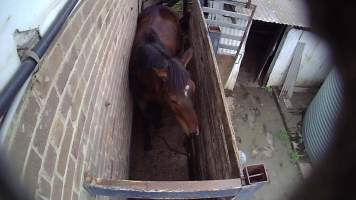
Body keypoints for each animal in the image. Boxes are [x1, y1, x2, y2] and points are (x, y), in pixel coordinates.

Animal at [129, 5, 199, 150]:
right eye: (173, 99)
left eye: (193, 89)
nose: (194, 132)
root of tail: (159, 5)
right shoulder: (140, 100)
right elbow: (146, 118)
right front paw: (147, 142)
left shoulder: (160, 95)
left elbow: (159, 108)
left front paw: (159, 122)